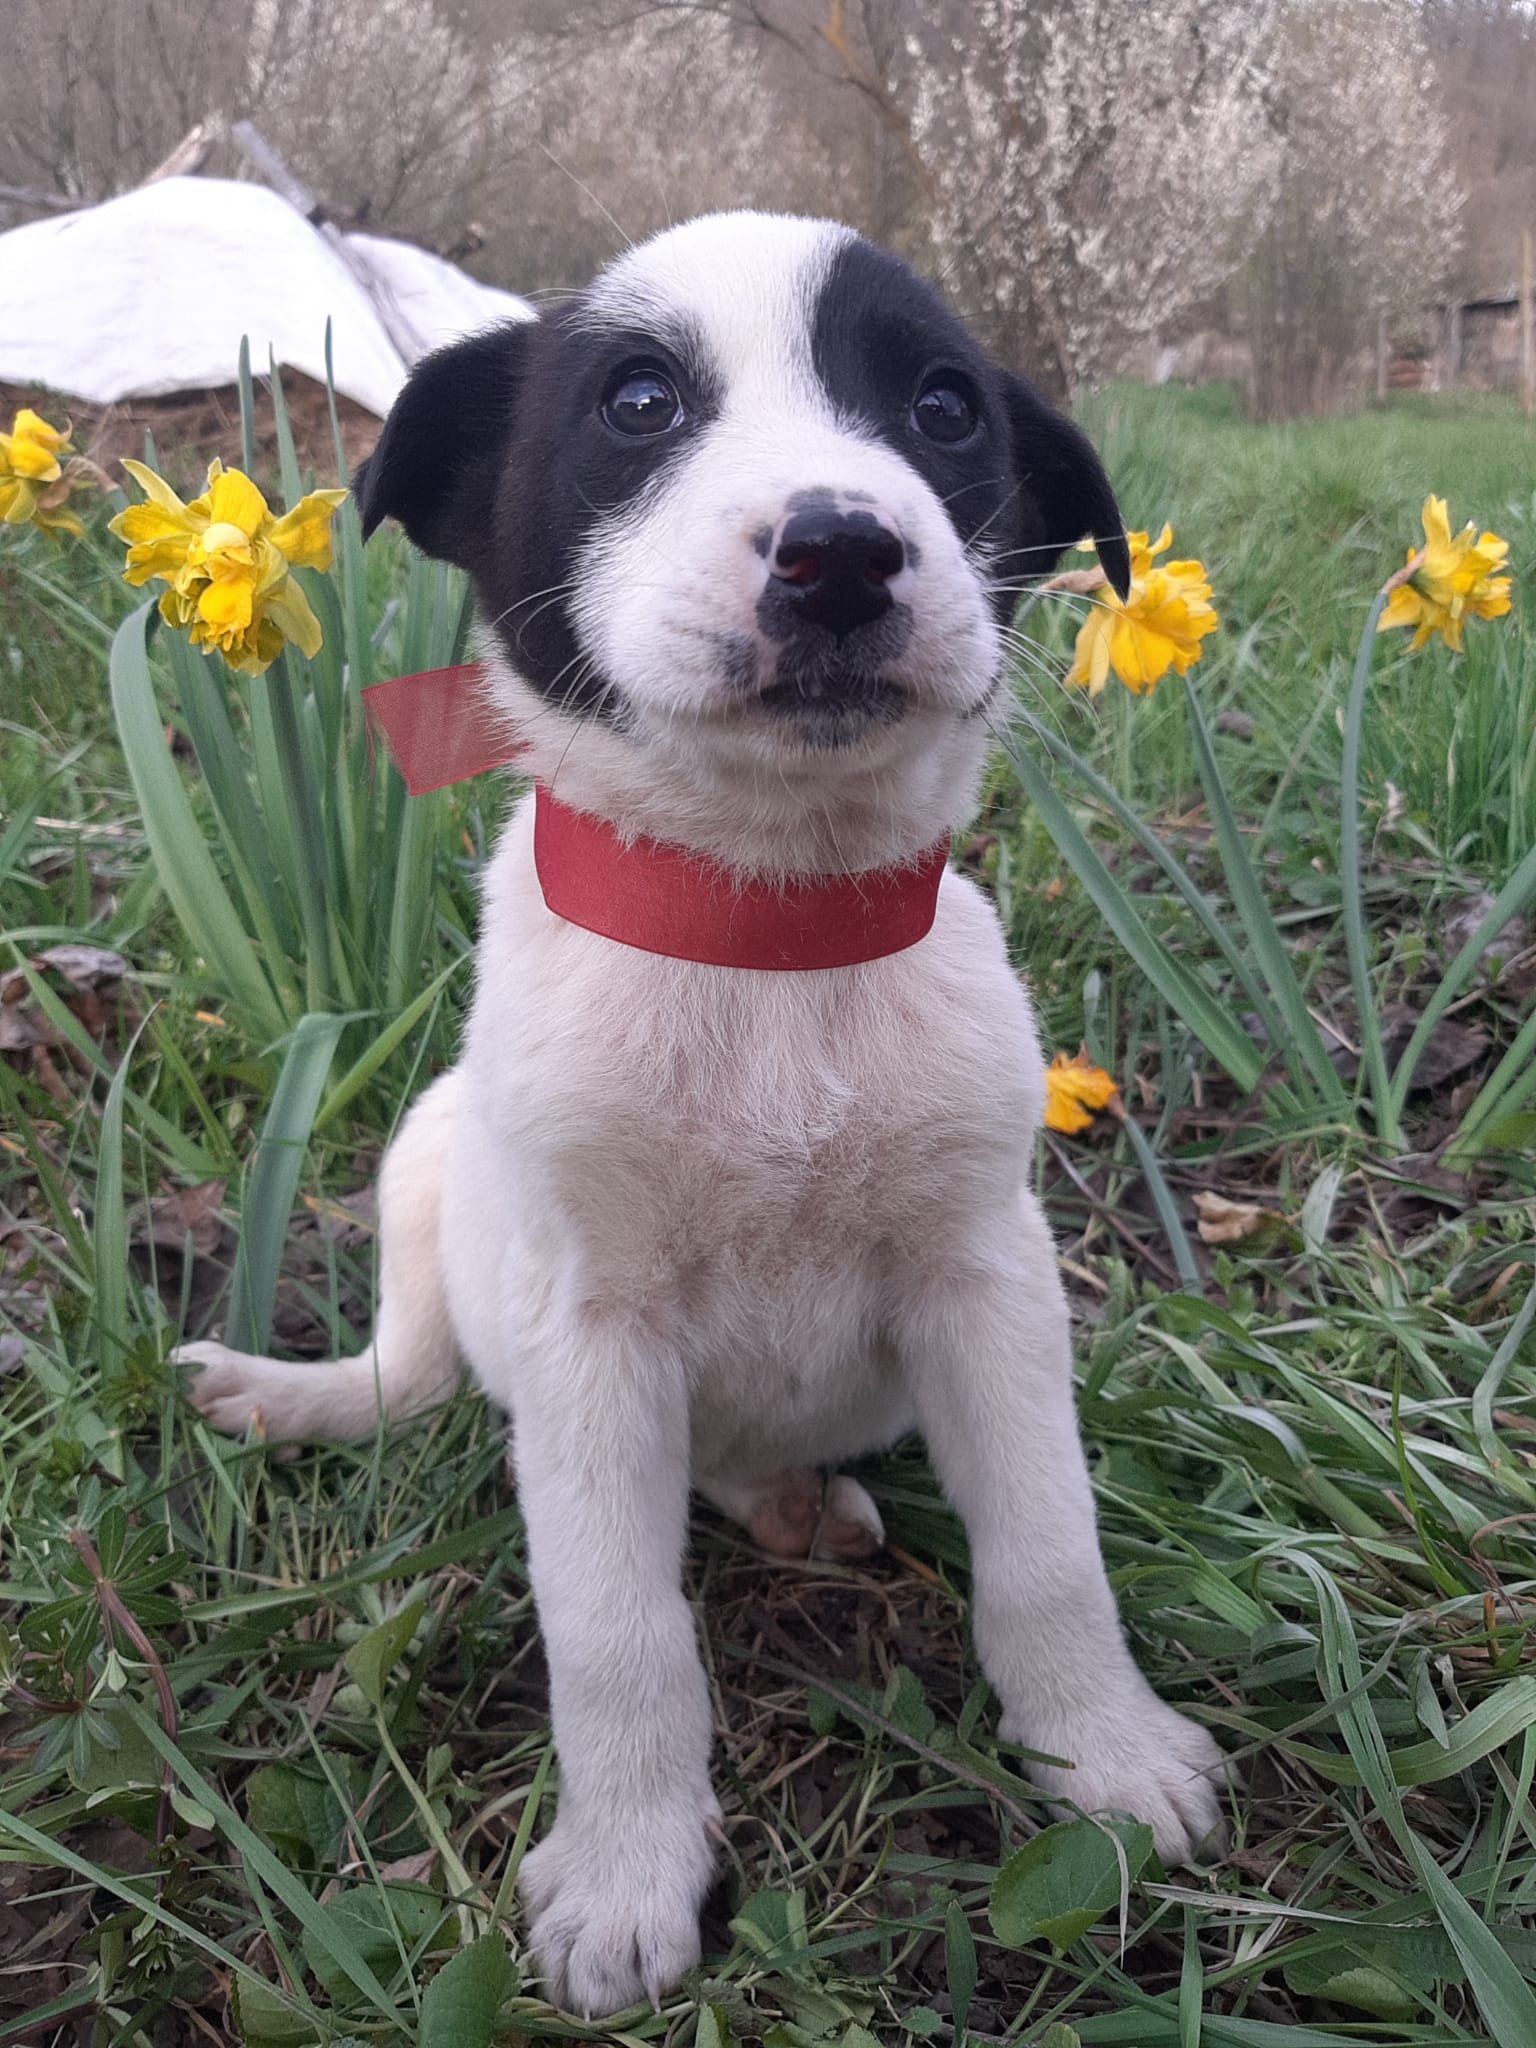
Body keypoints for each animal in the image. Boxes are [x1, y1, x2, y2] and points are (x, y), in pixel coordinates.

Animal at [180, 211, 1224, 2016]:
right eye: (640, 401)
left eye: (943, 410)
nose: (841, 551)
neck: (767, 928)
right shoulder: (590, 1337)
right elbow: (617, 1634)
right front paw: (627, 1875)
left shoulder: (988, 1281)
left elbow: (1049, 1544)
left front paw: (1106, 1754)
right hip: (427, 1159)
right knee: (413, 1371)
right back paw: (292, 1395)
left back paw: (798, 1502)